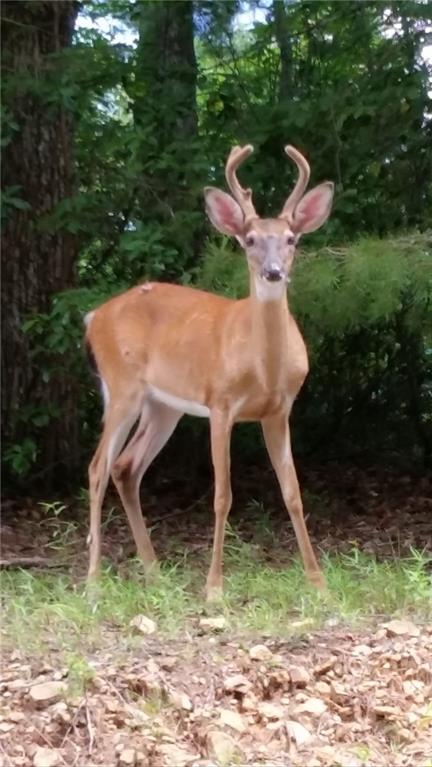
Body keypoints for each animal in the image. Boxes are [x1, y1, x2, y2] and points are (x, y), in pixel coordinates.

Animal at [84, 144, 334, 600]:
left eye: (291, 239)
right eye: (250, 240)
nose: (273, 272)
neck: (264, 368)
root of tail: (94, 316)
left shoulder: (279, 411)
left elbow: (292, 493)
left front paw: (318, 583)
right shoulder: (220, 404)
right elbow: (222, 494)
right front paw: (214, 587)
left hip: (163, 406)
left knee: (126, 467)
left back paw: (155, 572)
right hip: (122, 386)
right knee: (97, 468)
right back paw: (94, 582)